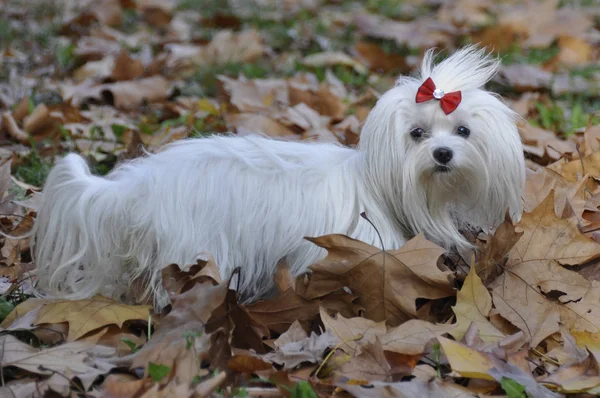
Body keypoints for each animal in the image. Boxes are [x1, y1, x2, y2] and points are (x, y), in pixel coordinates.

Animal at [30, 46, 524, 308]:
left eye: (463, 131)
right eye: (416, 134)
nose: (442, 153)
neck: (380, 188)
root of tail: (139, 187)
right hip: (196, 248)